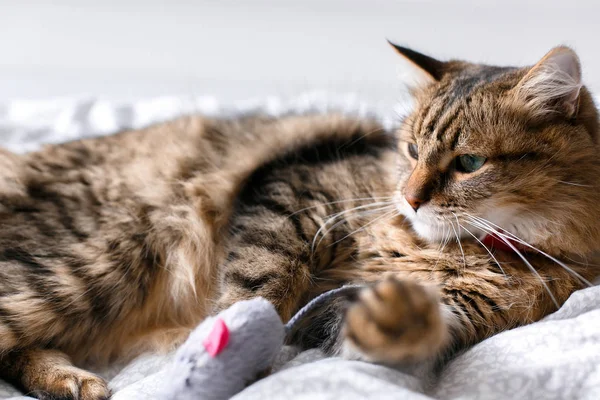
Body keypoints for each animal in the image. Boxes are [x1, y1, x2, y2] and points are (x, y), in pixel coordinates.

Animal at [1, 42, 600, 398]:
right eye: (411, 150)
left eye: (469, 164)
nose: (408, 199)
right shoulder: (294, 199)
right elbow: (256, 290)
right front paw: (225, 349)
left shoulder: (467, 311)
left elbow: (404, 330)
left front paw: (395, 313)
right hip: (98, 260)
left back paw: (71, 380)